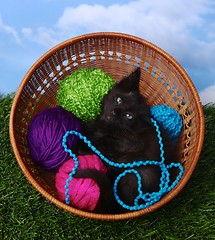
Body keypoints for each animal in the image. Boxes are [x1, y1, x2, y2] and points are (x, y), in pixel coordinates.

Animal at [75, 67, 176, 212]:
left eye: (128, 116)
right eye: (119, 100)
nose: (114, 112)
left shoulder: (126, 145)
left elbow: (101, 145)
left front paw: (82, 146)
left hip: (137, 174)